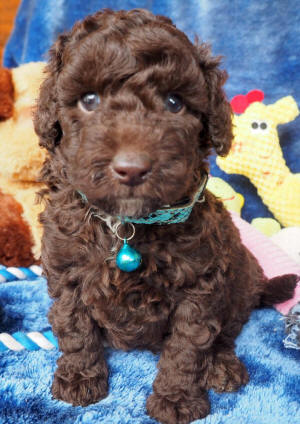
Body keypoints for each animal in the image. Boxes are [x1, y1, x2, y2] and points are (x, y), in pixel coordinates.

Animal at [33, 7, 298, 424]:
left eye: (174, 103)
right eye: (89, 100)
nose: (131, 169)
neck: (127, 226)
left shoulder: (200, 285)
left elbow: (187, 347)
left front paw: (176, 400)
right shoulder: (66, 270)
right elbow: (73, 325)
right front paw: (79, 378)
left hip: (238, 280)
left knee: (226, 332)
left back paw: (221, 365)